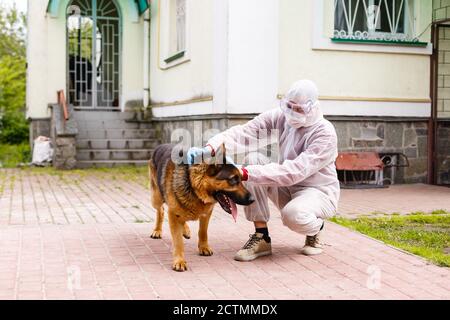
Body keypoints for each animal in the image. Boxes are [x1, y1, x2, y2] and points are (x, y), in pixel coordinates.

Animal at [148, 144, 253, 272]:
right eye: (233, 179)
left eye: (241, 179)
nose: (252, 199)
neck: (194, 188)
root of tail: (160, 145)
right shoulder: (173, 213)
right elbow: (178, 242)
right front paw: (179, 261)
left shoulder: (206, 213)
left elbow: (203, 231)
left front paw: (203, 247)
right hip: (156, 198)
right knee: (161, 211)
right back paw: (157, 231)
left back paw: (185, 230)